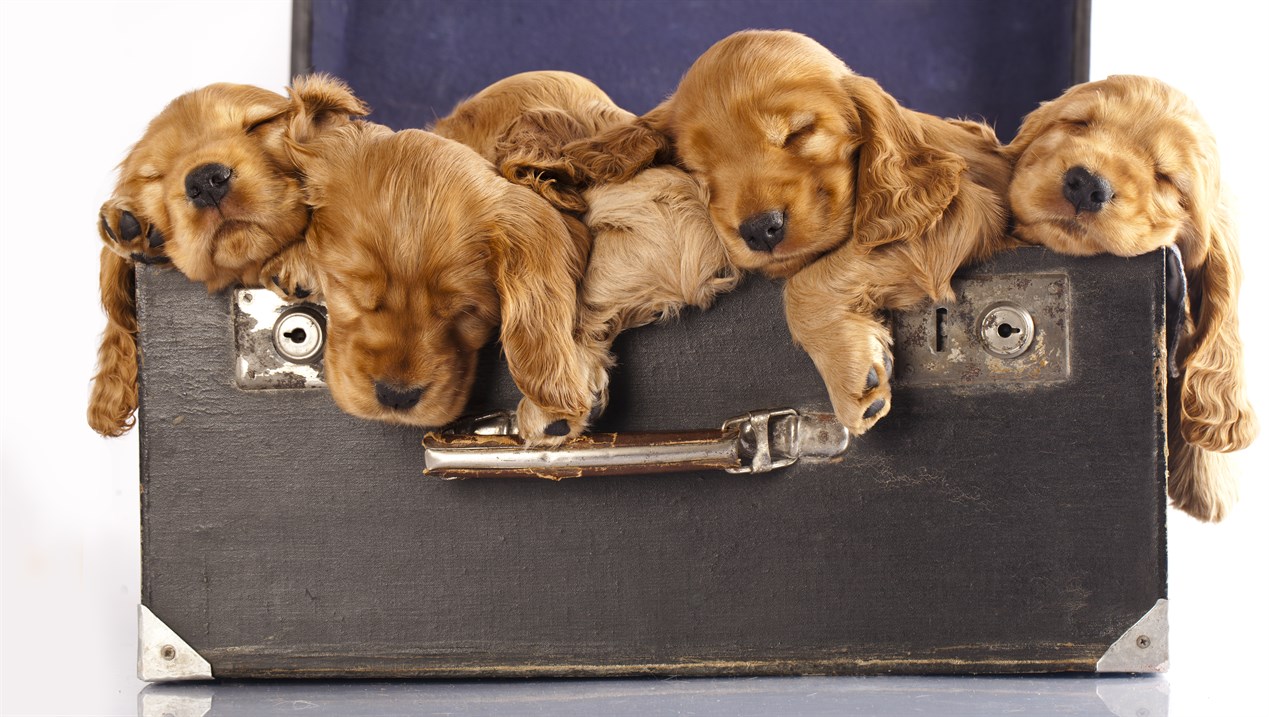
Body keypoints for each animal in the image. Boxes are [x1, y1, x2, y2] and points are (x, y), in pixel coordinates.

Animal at [565, 30, 1010, 434]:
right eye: (697, 167)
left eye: (800, 132)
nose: (761, 230)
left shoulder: (957, 213)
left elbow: (806, 283)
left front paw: (847, 372)